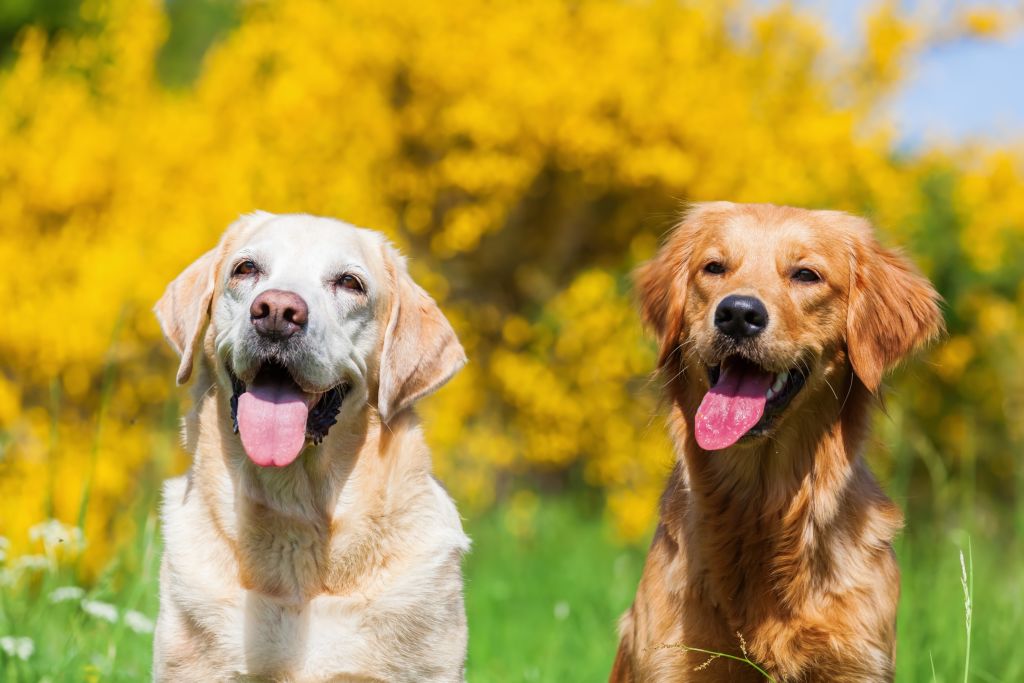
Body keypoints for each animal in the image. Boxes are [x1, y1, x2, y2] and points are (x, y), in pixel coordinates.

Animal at [610, 202, 937, 683]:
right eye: (714, 267)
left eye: (805, 274)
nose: (738, 313)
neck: (761, 509)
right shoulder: (673, 657)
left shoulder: (857, 660)